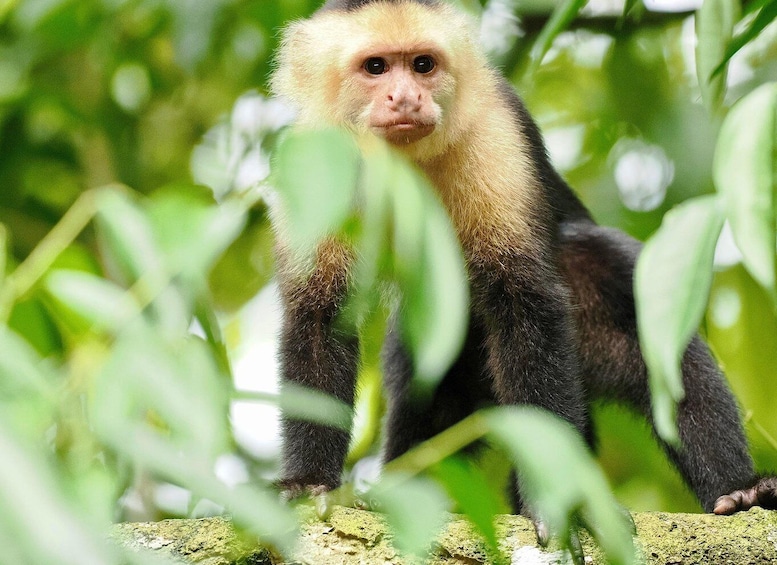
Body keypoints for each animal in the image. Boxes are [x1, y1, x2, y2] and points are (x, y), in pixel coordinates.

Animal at [270, 0, 777, 531]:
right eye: (376, 67)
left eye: (423, 65)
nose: (406, 97)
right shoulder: (311, 160)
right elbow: (318, 316)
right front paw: (309, 483)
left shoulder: (493, 135)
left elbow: (523, 299)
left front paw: (555, 498)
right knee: (426, 399)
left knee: (639, 318)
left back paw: (738, 490)